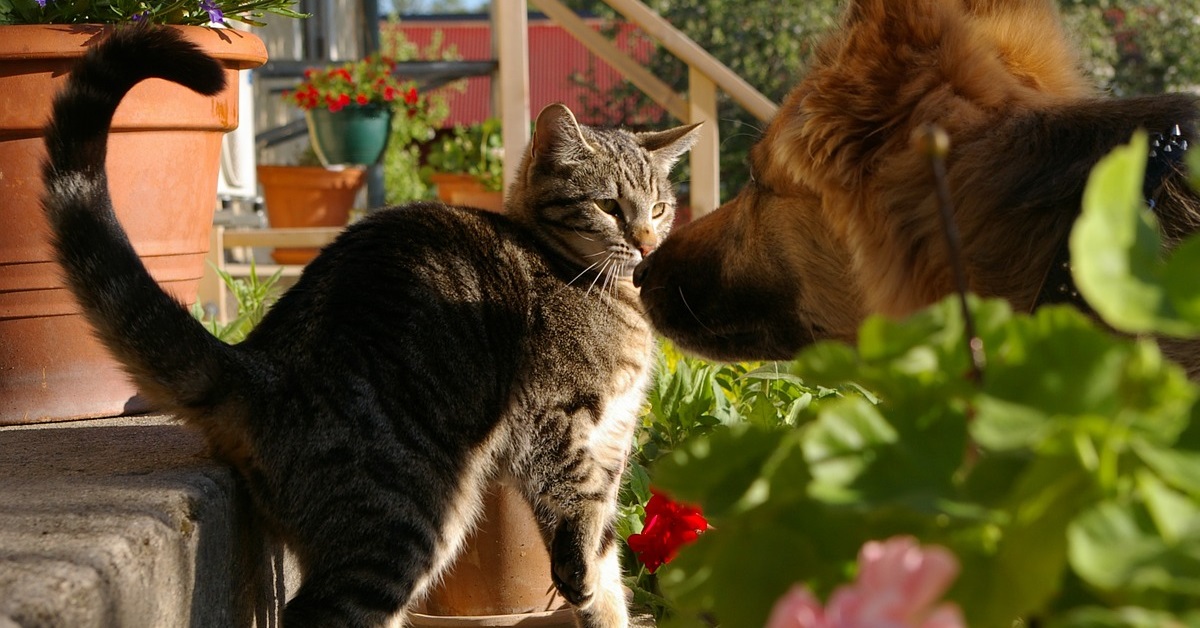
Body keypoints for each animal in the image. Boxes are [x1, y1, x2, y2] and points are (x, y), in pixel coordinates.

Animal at [42, 27, 700, 628]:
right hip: (402, 524)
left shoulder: (614, 435)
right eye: (610, 207)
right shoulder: (556, 418)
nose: (647, 242)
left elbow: (608, 562)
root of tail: (261, 363)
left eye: (659, 208)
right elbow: (575, 508)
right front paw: (578, 570)